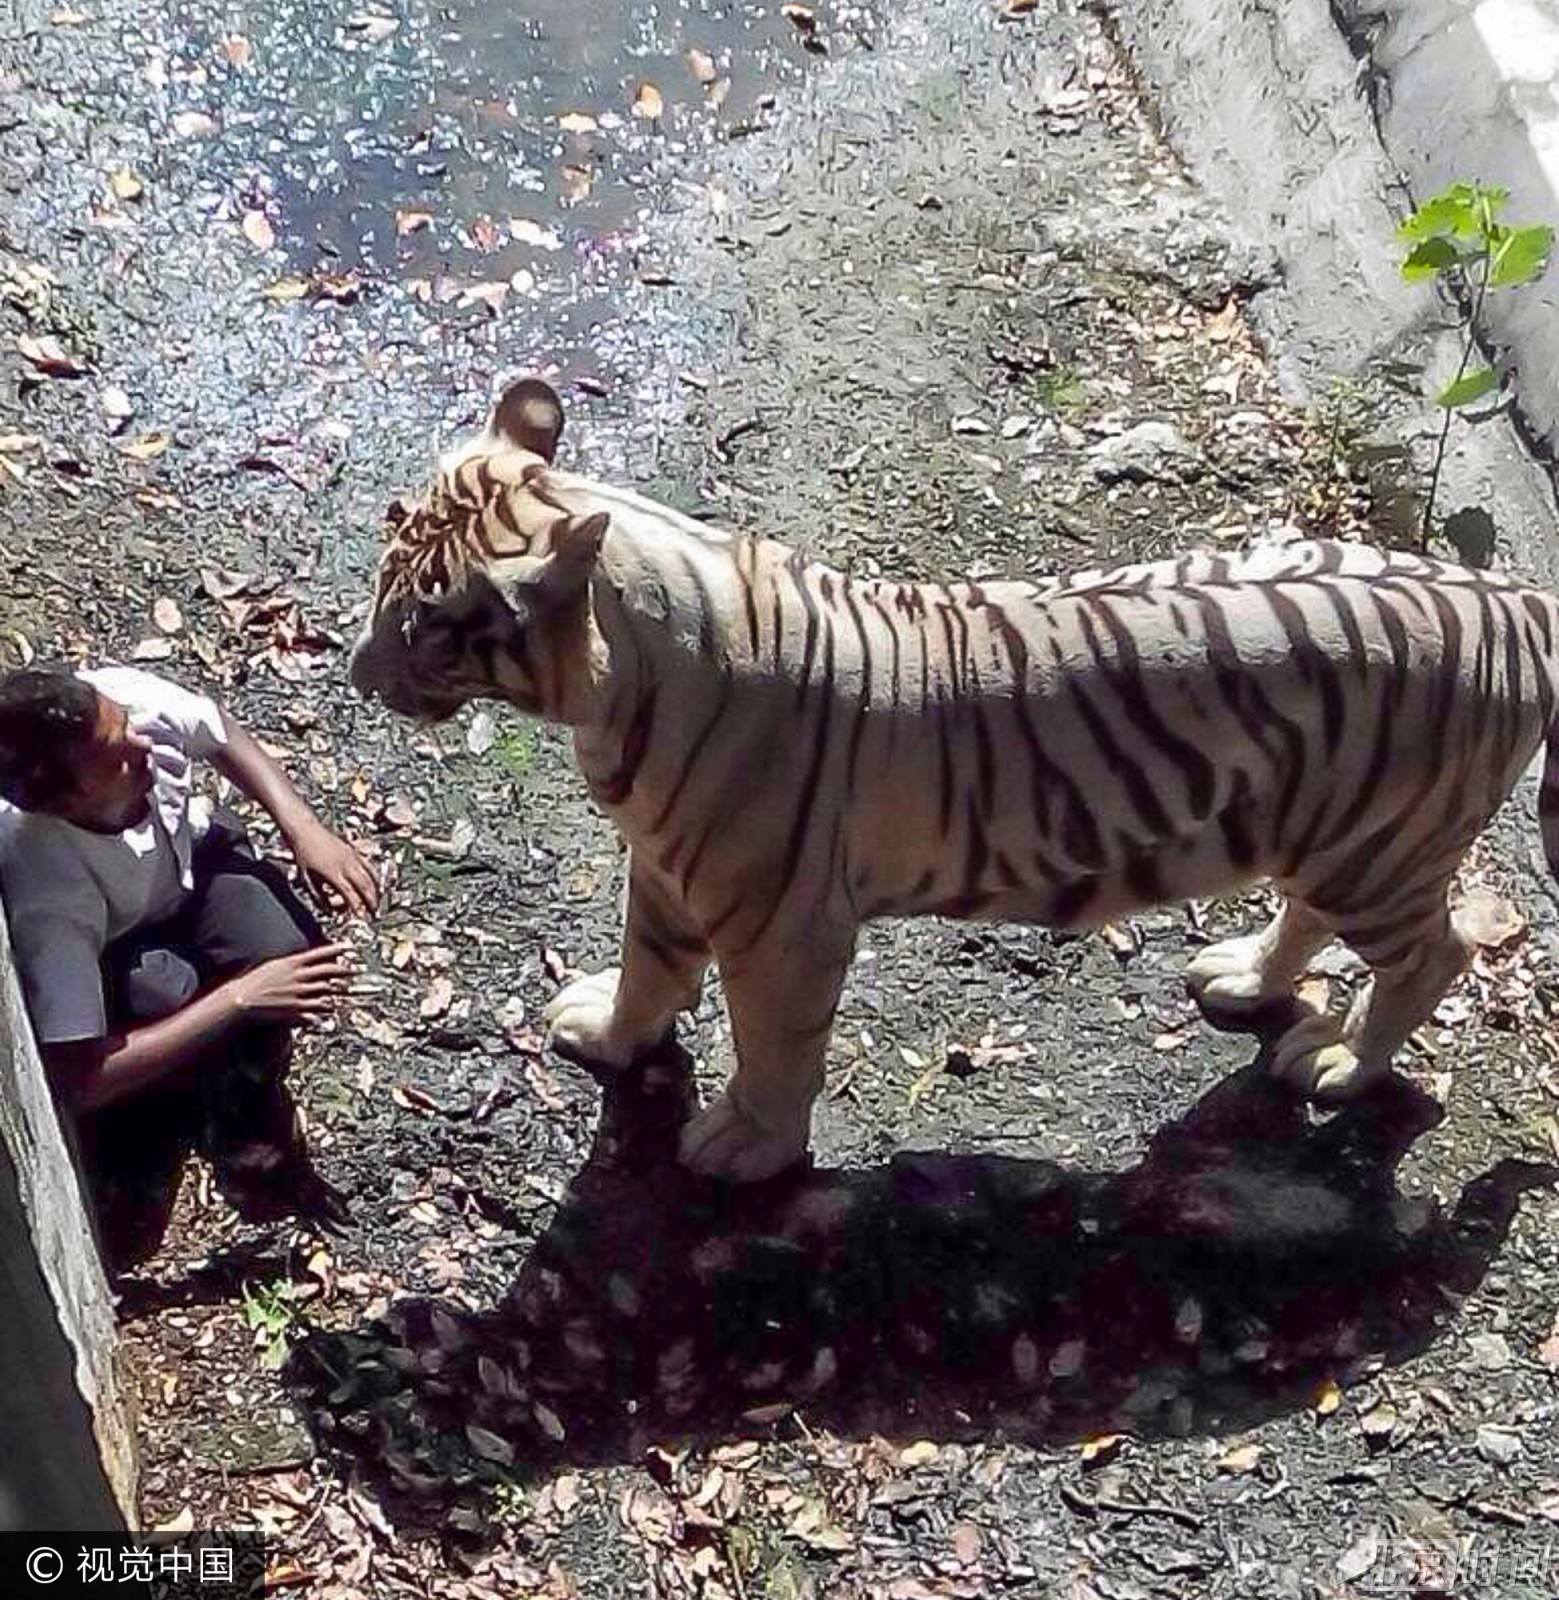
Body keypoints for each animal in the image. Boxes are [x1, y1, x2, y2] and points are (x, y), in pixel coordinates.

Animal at [350, 374, 1559, 1177]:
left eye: (424, 624)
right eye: (385, 567)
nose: (356, 673)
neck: (614, 690)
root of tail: (1514, 595)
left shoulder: (781, 925)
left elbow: (775, 1044)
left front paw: (746, 1144)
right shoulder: (664, 868)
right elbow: (649, 967)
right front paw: (607, 1031)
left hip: (1383, 852)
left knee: (1434, 956)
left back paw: (1342, 1063)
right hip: (1318, 831)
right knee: (1306, 917)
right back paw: (1244, 978)